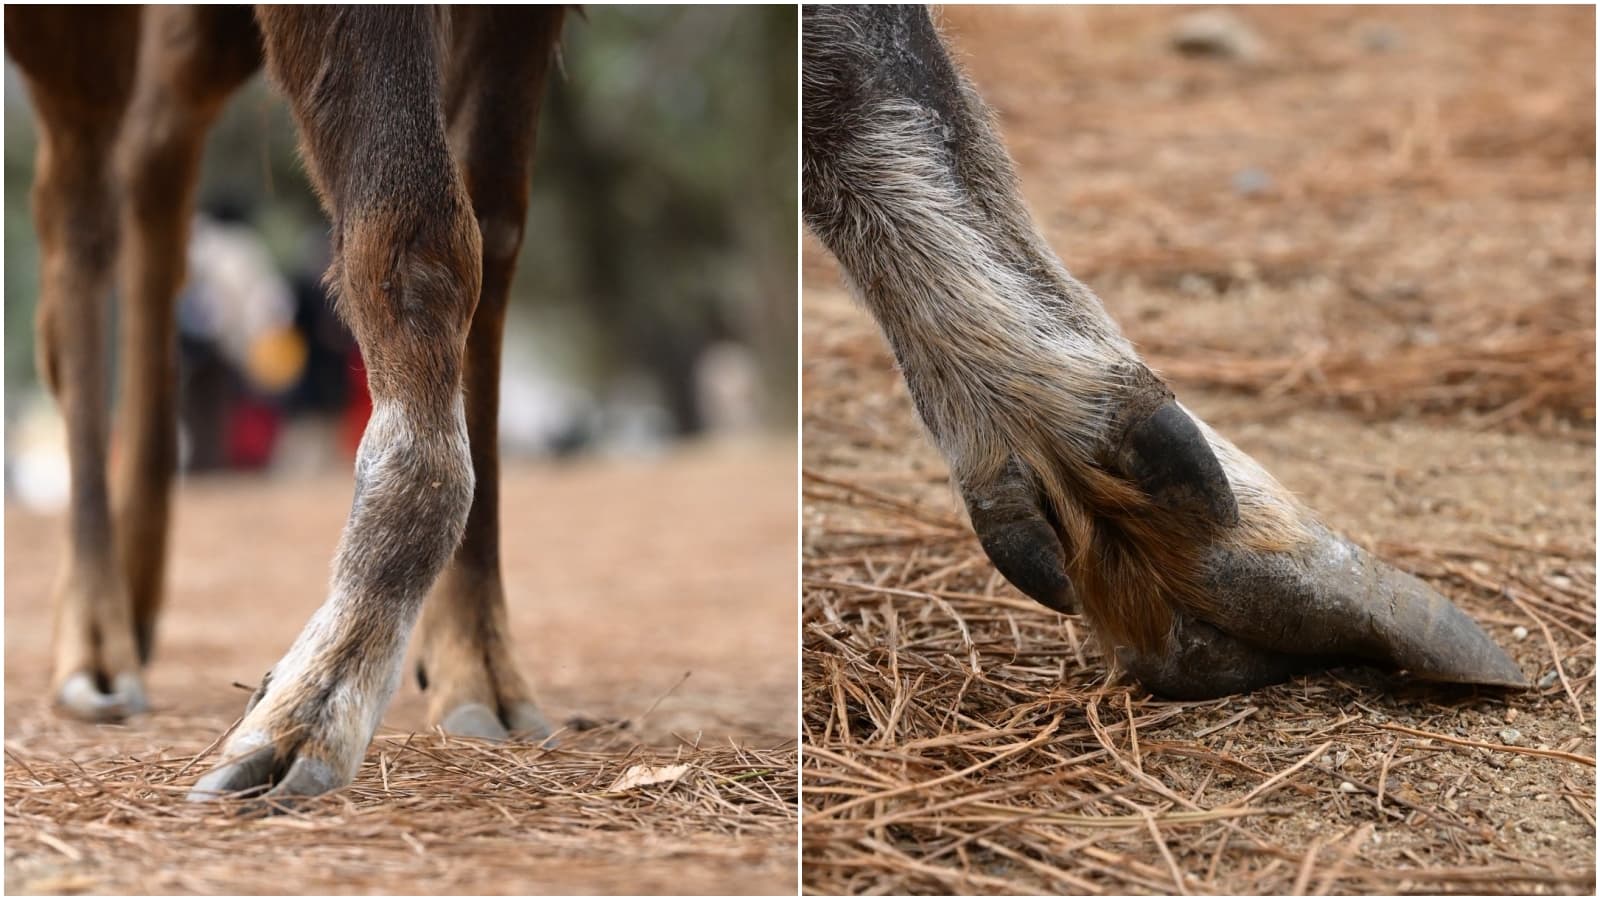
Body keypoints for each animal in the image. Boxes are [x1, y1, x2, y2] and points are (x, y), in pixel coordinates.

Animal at [8, 6, 568, 803]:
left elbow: (494, 226)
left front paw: (476, 665)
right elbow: (421, 235)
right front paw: (317, 700)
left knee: (155, 137)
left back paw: (137, 589)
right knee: (76, 199)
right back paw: (94, 641)